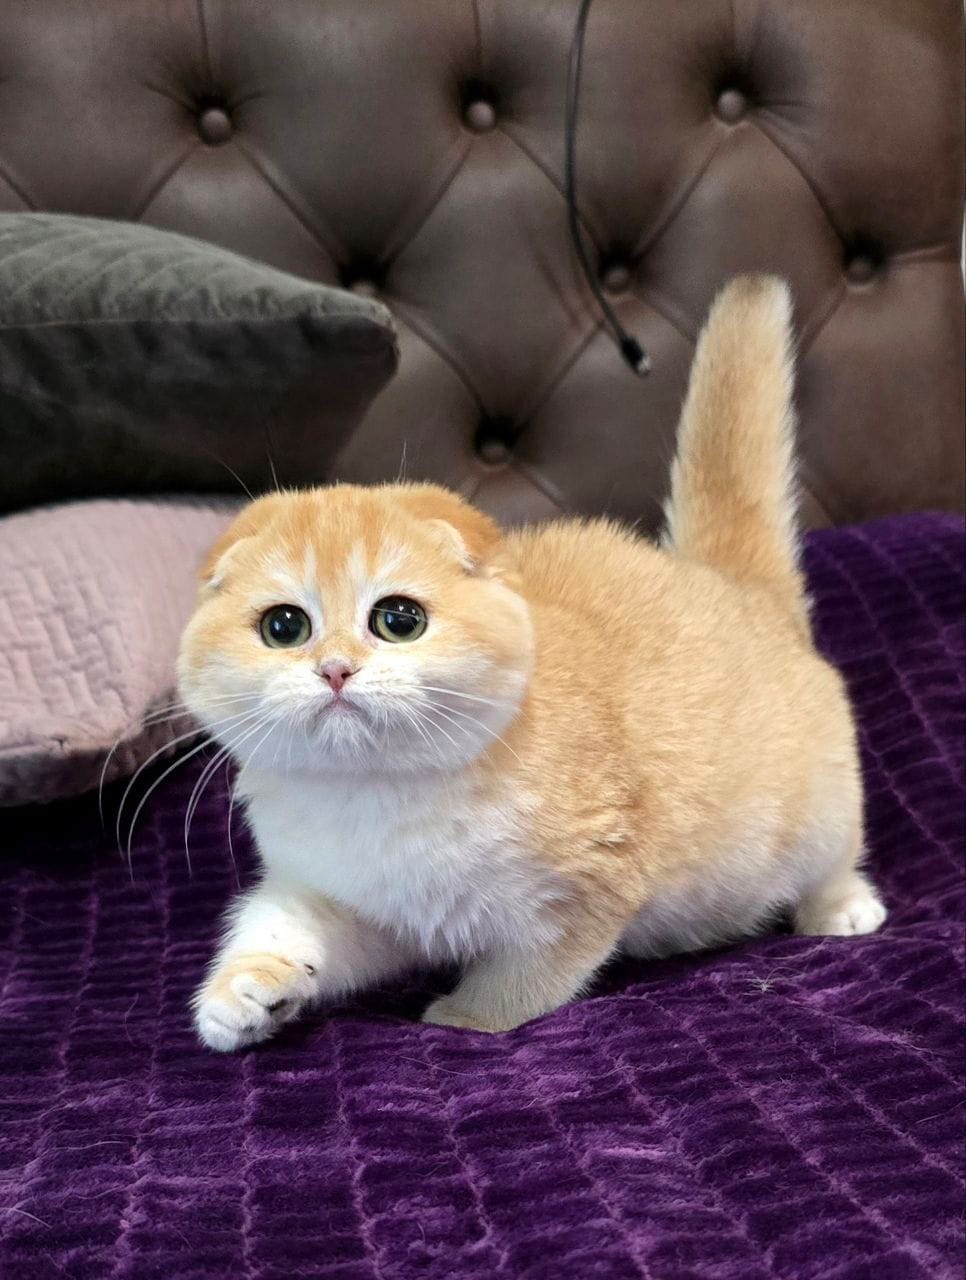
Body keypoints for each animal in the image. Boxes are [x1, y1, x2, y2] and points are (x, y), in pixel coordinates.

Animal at [178, 275, 886, 1051]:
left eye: (398, 620)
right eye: (284, 627)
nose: (335, 668)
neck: (378, 797)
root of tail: (731, 582)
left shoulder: (582, 885)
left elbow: (528, 973)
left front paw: (467, 1018)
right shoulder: (351, 900)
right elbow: (288, 925)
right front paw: (245, 991)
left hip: (822, 811)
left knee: (835, 856)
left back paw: (841, 908)